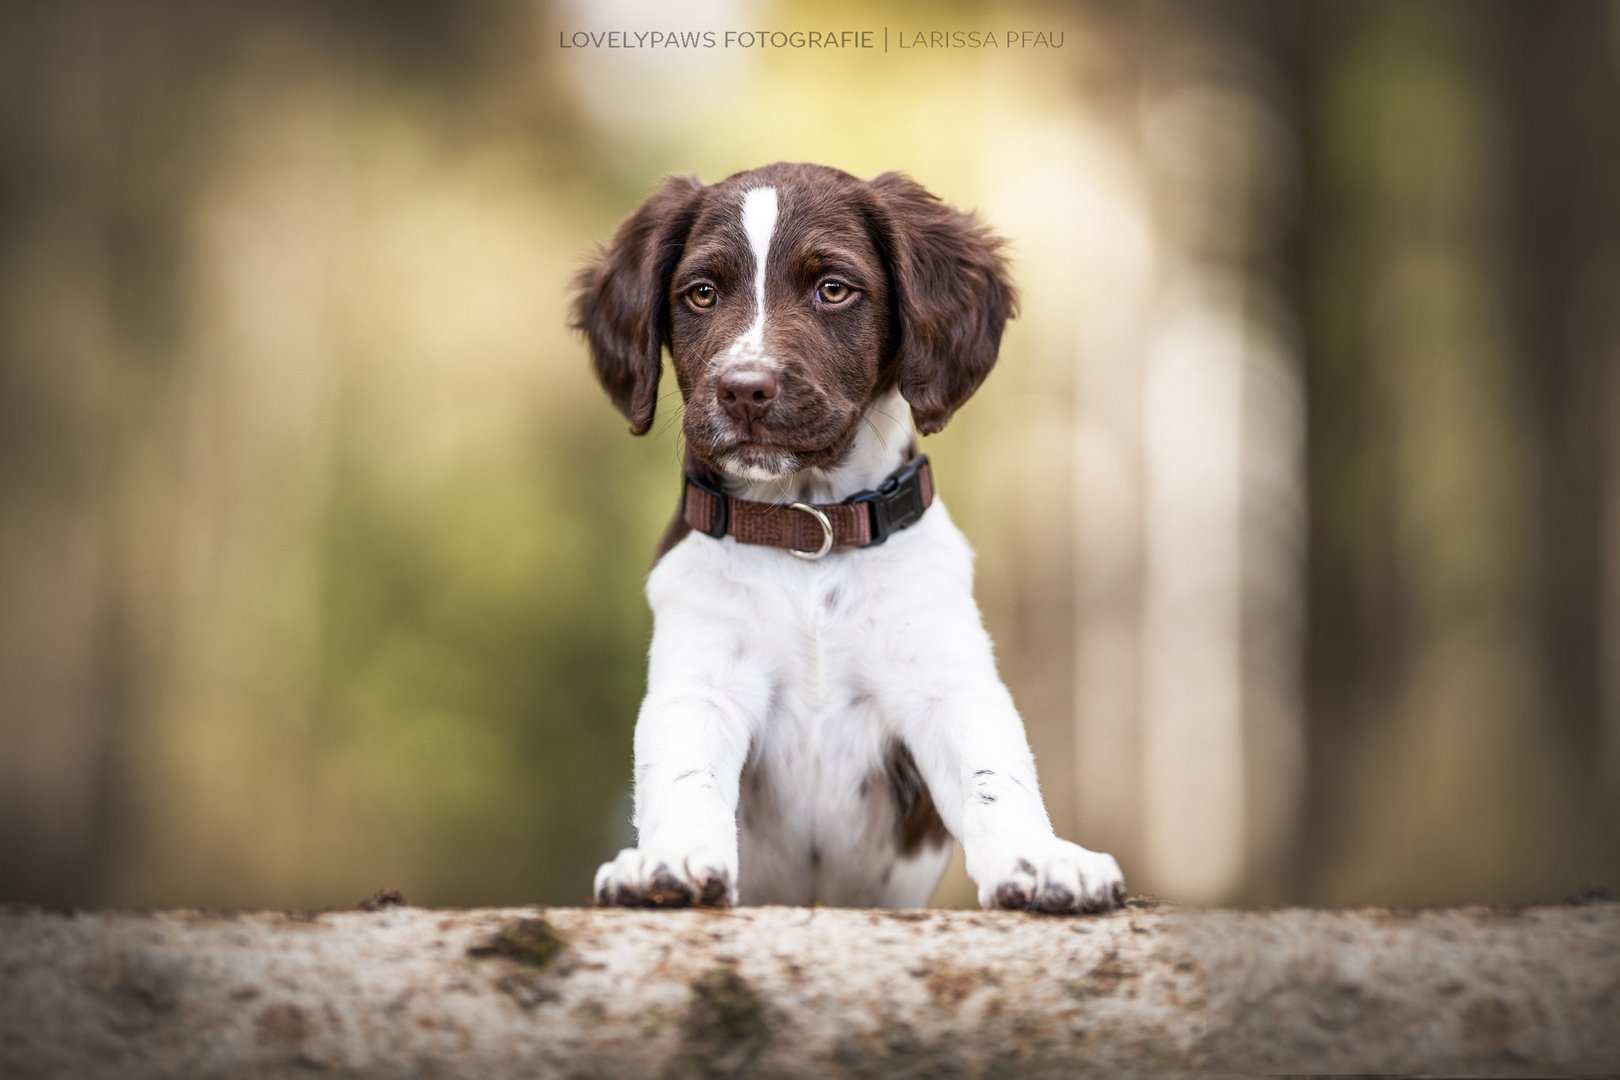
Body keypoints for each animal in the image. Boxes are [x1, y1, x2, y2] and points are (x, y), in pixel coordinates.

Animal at [573, 165, 1127, 919]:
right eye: (701, 293)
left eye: (833, 289)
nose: (743, 390)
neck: (811, 524)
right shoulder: (701, 679)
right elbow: (685, 775)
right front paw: (671, 861)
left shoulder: (944, 679)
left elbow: (994, 774)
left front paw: (1041, 860)